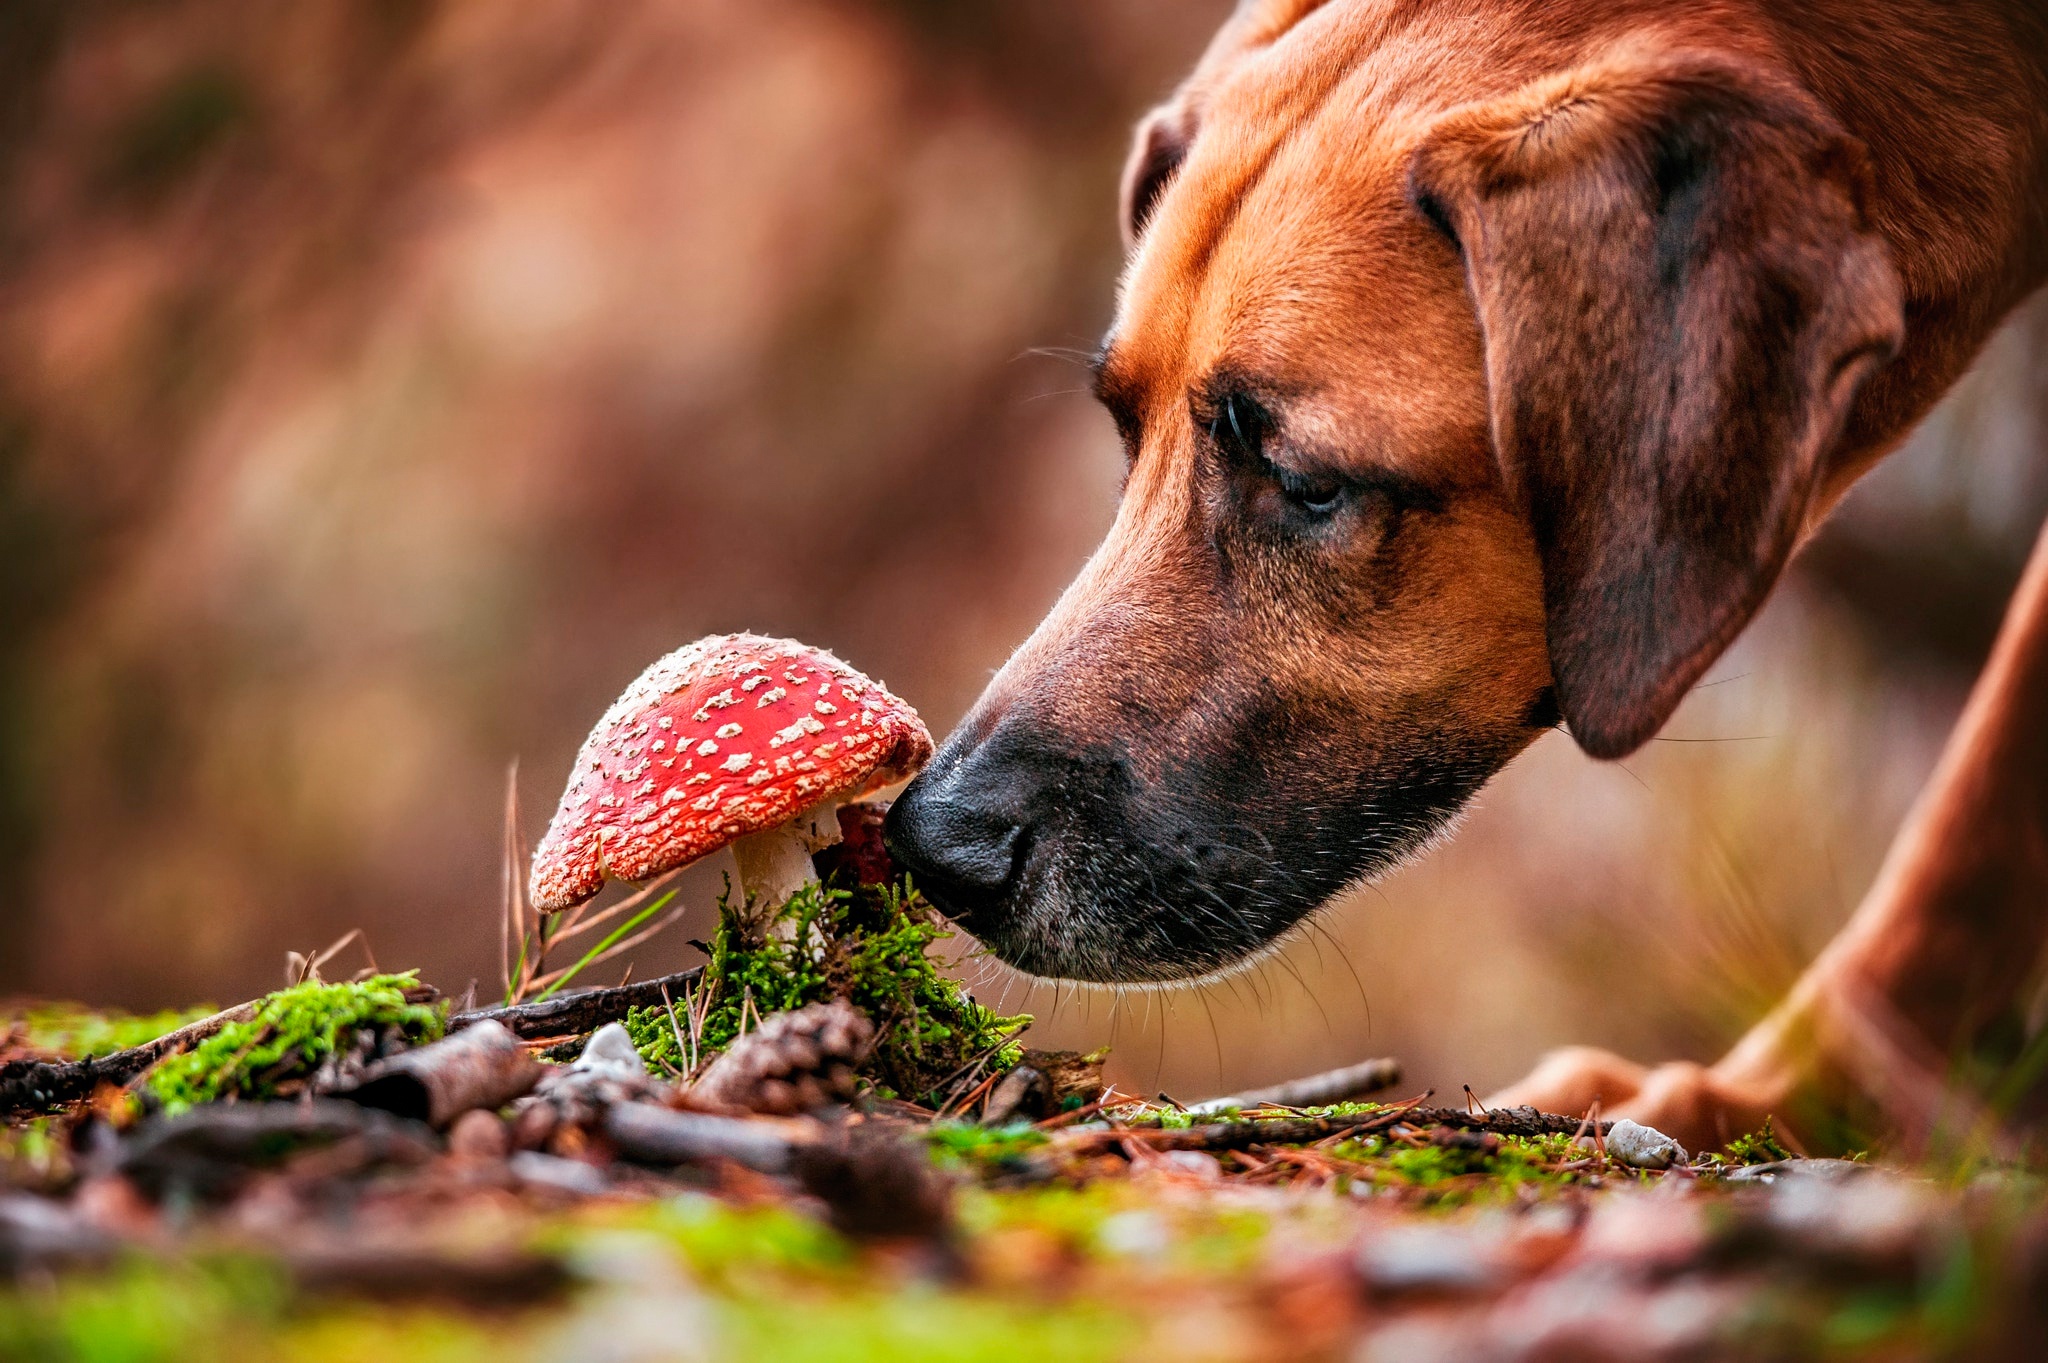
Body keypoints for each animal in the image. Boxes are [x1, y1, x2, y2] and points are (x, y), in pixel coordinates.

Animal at [888, 0, 2048, 1154]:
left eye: (1305, 482)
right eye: (1126, 426)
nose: (933, 846)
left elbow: (1977, 805)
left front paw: (1807, 1094)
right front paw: (1797, 1096)